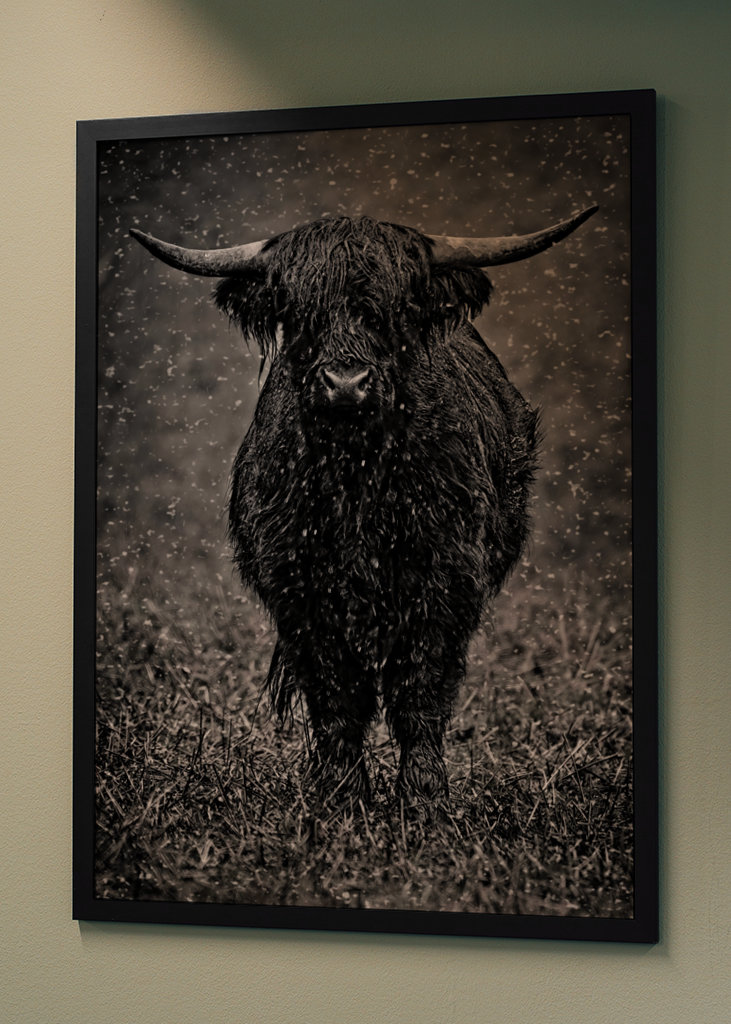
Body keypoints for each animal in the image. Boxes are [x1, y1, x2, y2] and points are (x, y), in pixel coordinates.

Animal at [130, 206, 597, 811]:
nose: (345, 383)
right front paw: (340, 794)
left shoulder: (444, 579)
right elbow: (336, 694)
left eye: (395, 312)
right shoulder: (300, 587)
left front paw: (423, 797)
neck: (357, 477)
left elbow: (419, 687)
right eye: (299, 312)